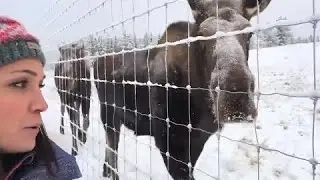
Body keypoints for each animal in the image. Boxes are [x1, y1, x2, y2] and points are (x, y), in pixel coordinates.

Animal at [94, 0, 272, 179]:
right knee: (112, 147)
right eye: (201, 34)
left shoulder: (197, 140)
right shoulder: (169, 142)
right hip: (108, 112)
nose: (235, 98)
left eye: (250, 33)